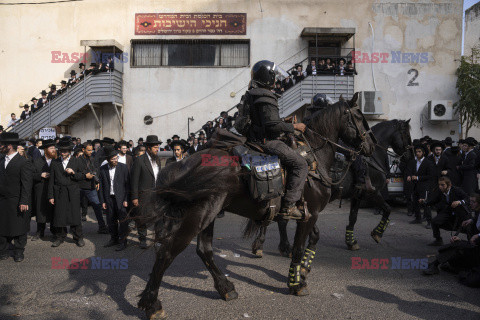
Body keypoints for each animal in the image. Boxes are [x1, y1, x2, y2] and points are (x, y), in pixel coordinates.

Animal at [134, 93, 376, 320]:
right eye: (360, 117)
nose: (371, 147)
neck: (314, 158)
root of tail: (182, 165)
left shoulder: (308, 213)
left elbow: (312, 238)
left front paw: (303, 270)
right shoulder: (311, 213)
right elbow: (298, 248)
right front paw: (296, 283)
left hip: (208, 213)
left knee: (204, 250)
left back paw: (225, 288)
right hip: (198, 216)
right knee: (167, 252)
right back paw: (153, 304)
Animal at [251, 119, 412, 256]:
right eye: (406, 134)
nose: (409, 155)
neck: (371, 159)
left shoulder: (357, 195)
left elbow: (353, 217)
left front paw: (351, 241)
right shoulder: (372, 193)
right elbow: (387, 209)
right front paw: (377, 233)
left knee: (280, 217)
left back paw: (278, 246)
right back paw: (267, 245)